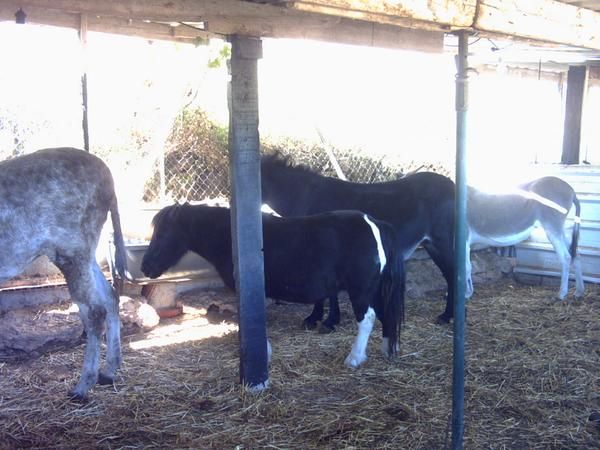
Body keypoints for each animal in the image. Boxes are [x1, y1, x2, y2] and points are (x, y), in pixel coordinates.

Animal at [0, 149, 125, 400]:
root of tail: (106, 175)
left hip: (71, 251)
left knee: (94, 312)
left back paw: (83, 386)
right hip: (83, 254)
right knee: (110, 297)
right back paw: (109, 371)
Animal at [140, 203, 404, 366]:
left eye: (161, 234)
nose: (145, 267)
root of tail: (374, 223)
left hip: (361, 292)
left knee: (367, 319)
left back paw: (354, 358)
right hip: (375, 290)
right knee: (385, 316)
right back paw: (387, 350)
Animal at [258, 153, 454, 326]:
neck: (306, 196)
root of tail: (452, 185)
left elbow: (329, 290)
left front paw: (325, 320)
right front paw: (318, 318)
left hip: (442, 242)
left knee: (452, 274)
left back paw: (447, 316)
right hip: (431, 244)